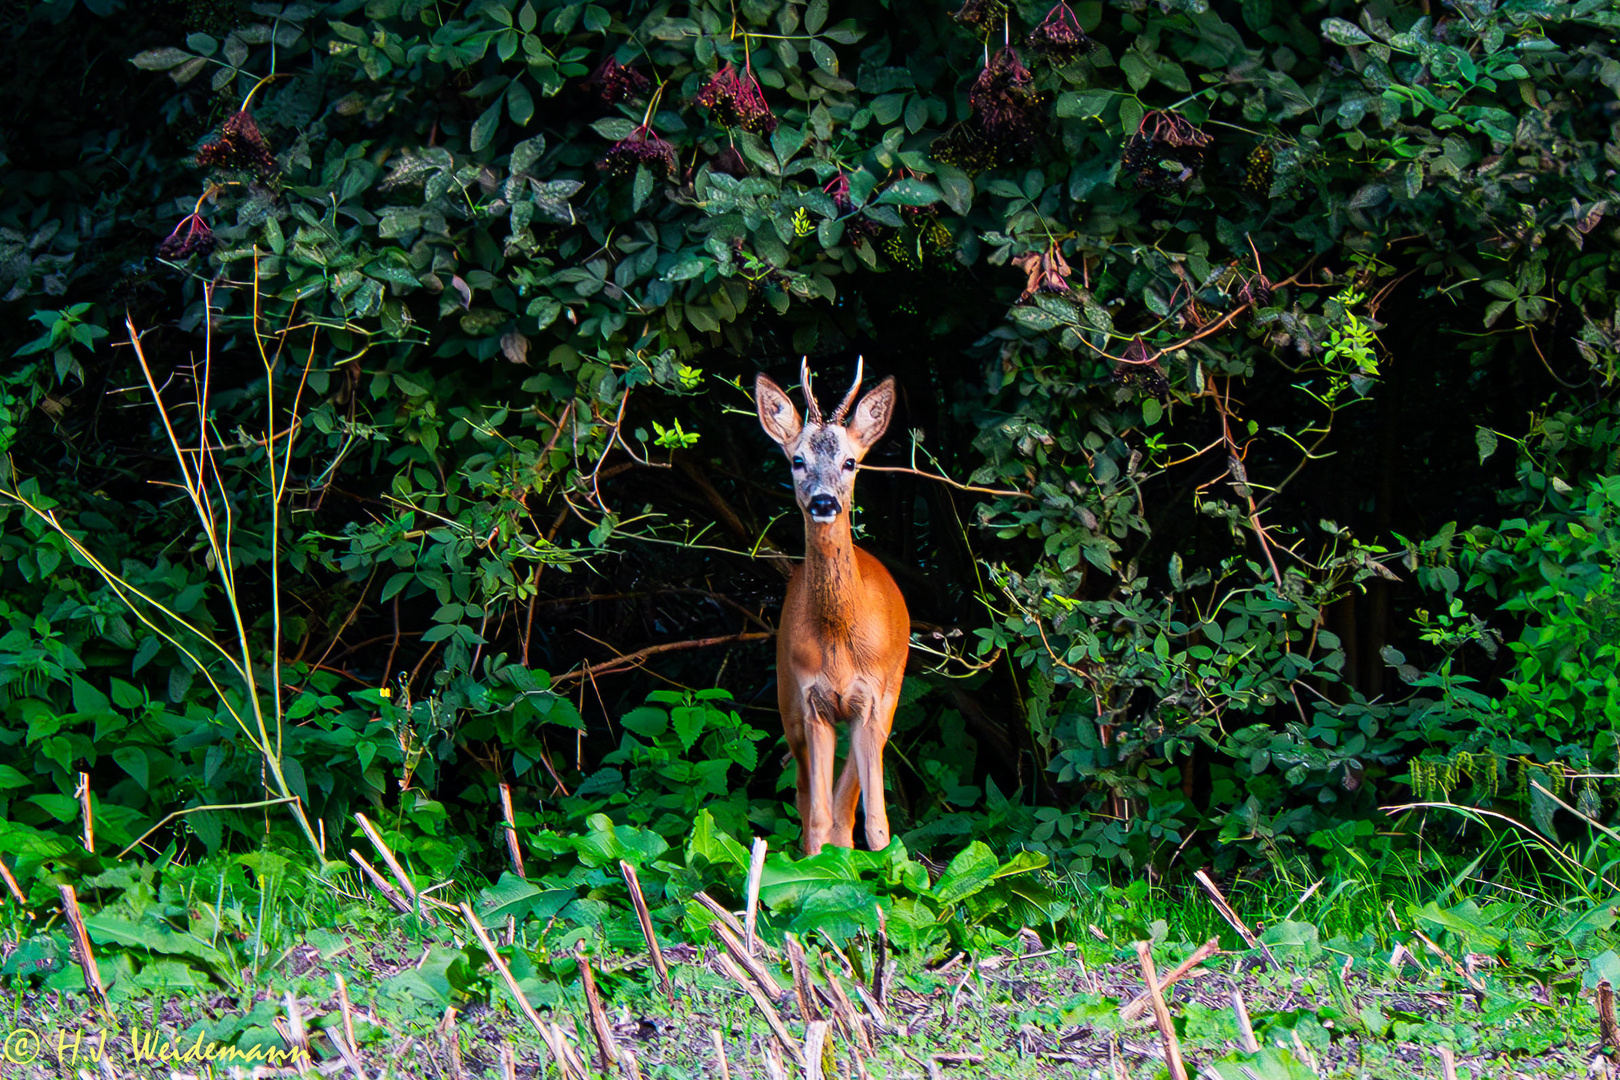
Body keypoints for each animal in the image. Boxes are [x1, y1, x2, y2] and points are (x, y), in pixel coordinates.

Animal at [751, 359, 907, 854]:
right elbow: (816, 815)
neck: (839, 636)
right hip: (787, 698)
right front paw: (817, 867)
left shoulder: (871, 701)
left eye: (850, 461)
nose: (824, 501)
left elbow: (878, 823)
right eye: (797, 460)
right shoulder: (811, 699)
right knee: (807, 796)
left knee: (850, 799)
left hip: (890, 696)